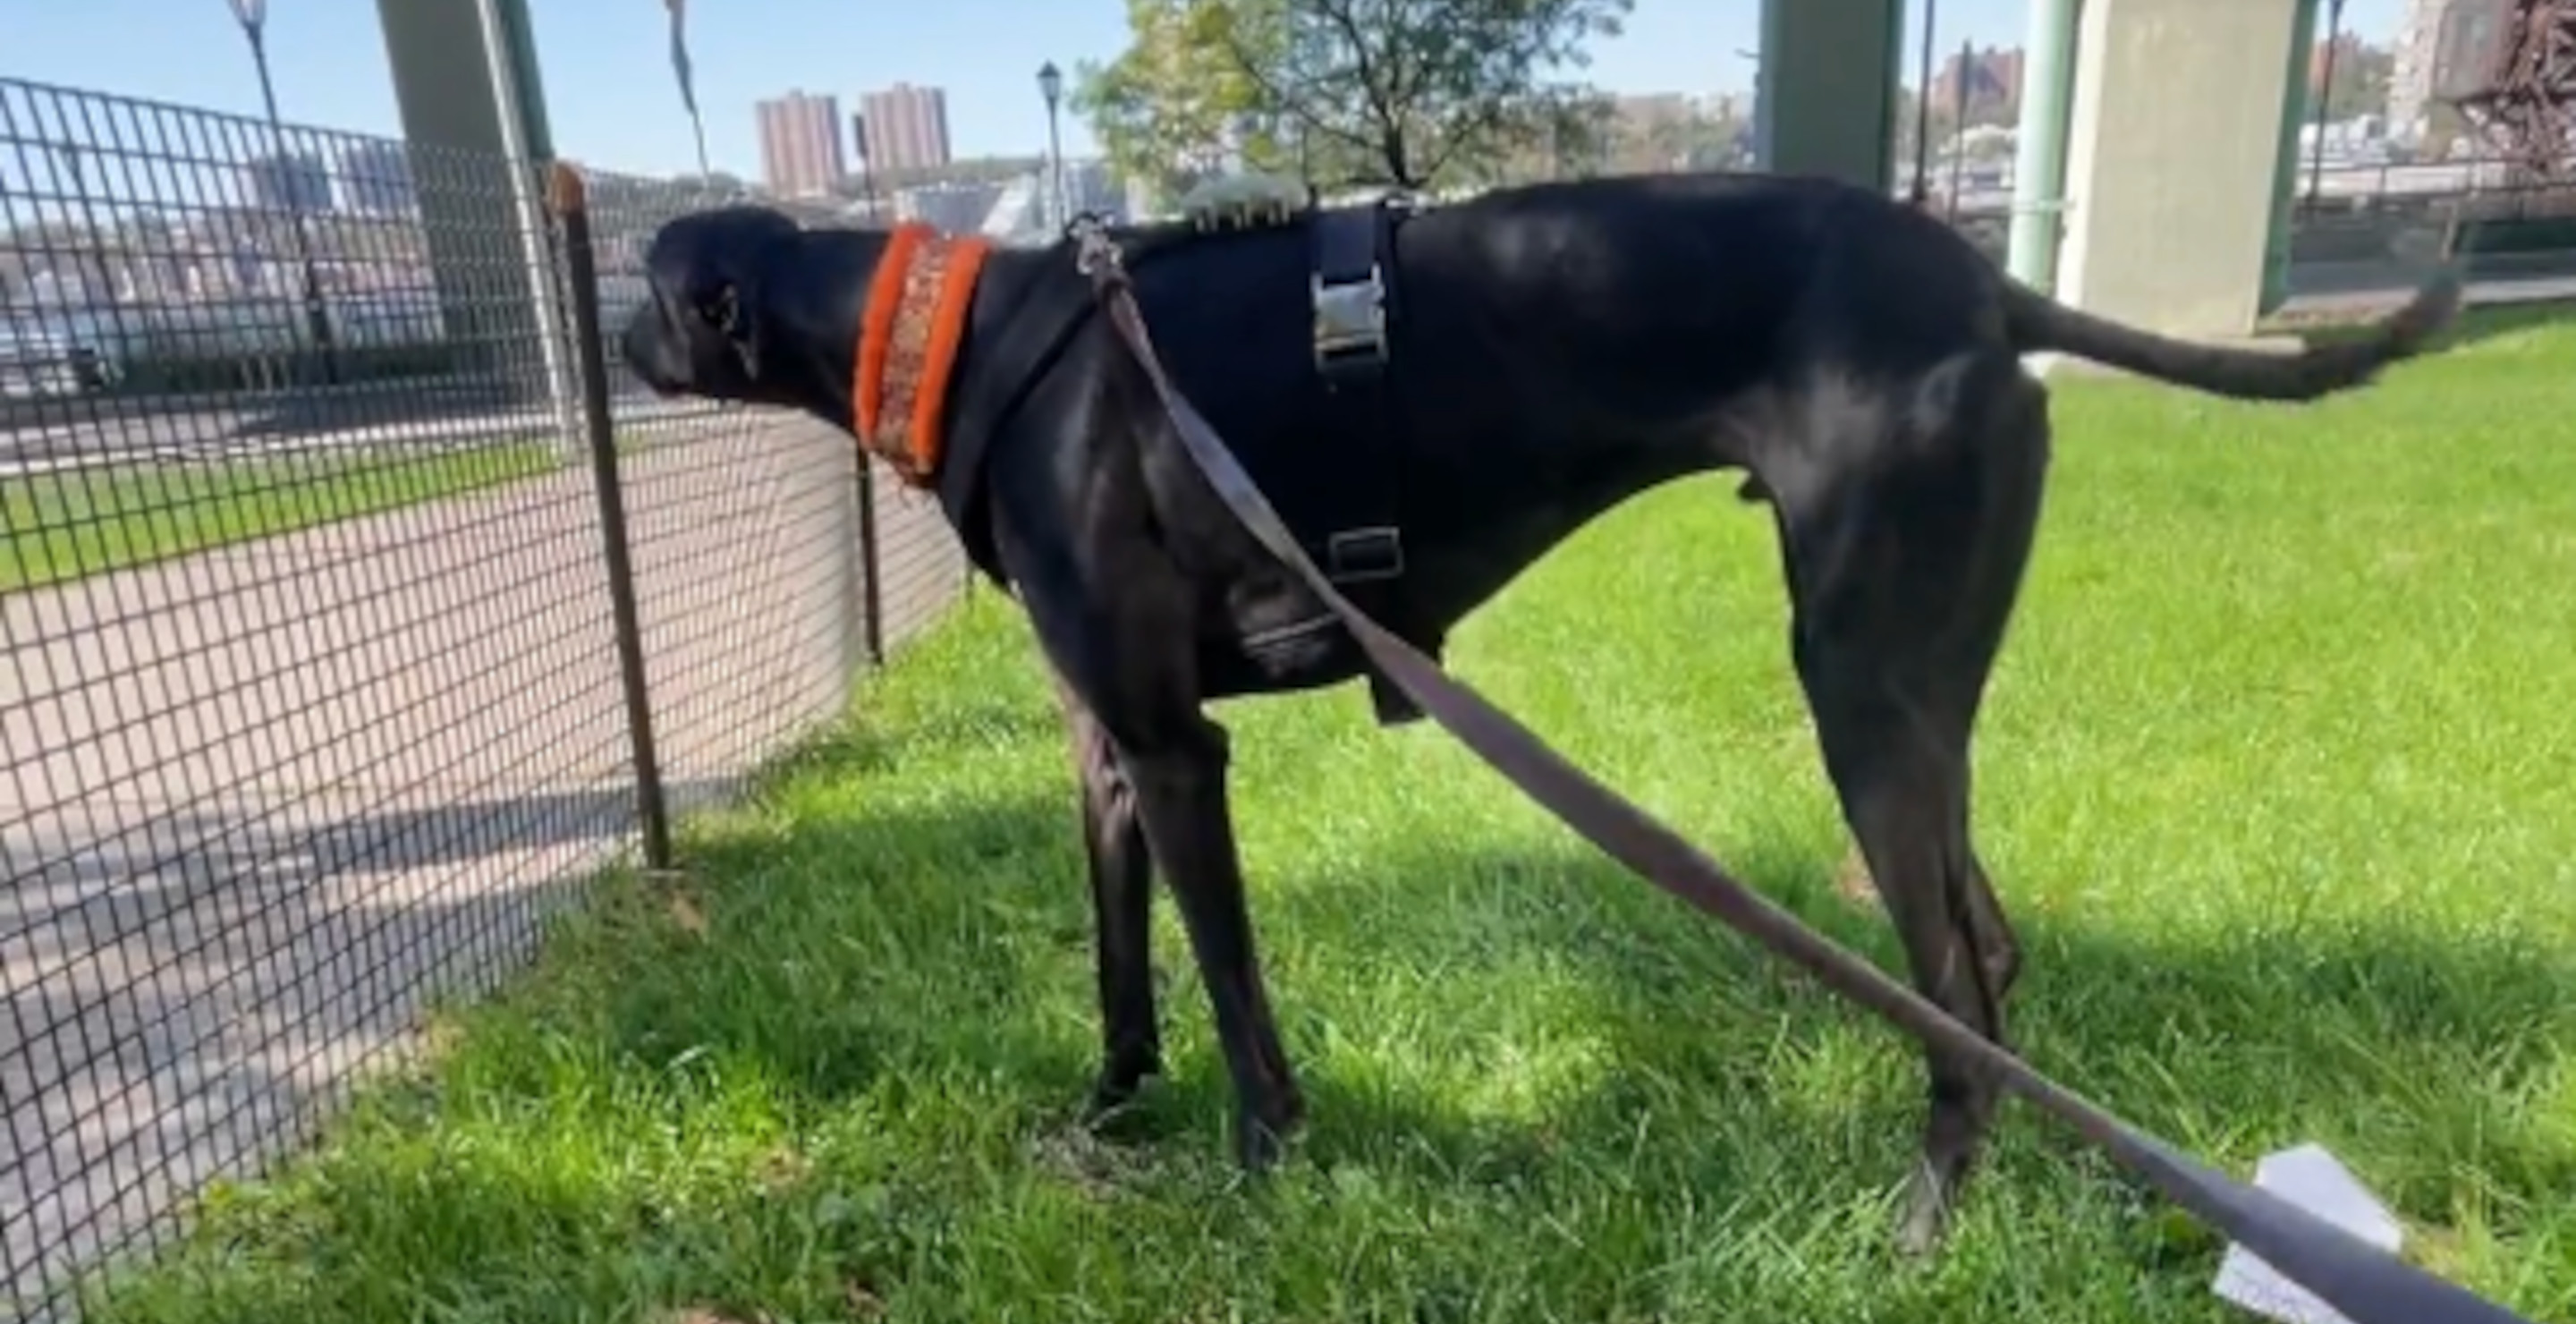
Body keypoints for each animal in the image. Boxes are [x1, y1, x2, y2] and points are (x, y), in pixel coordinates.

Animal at [618, 167, 2452, 1246]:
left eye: (647, 278)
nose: (625, 352)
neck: (971, 334)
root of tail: (1991, 293)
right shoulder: (1107, 755)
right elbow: (1124, 966)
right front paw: (1106, 1112)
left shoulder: (1178, 751)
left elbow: (1232, 988)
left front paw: (1265, 1169)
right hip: (1915, 700)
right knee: (1986, 954)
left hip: (1863, 683)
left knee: (1958, 983)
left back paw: (1927, 1216)